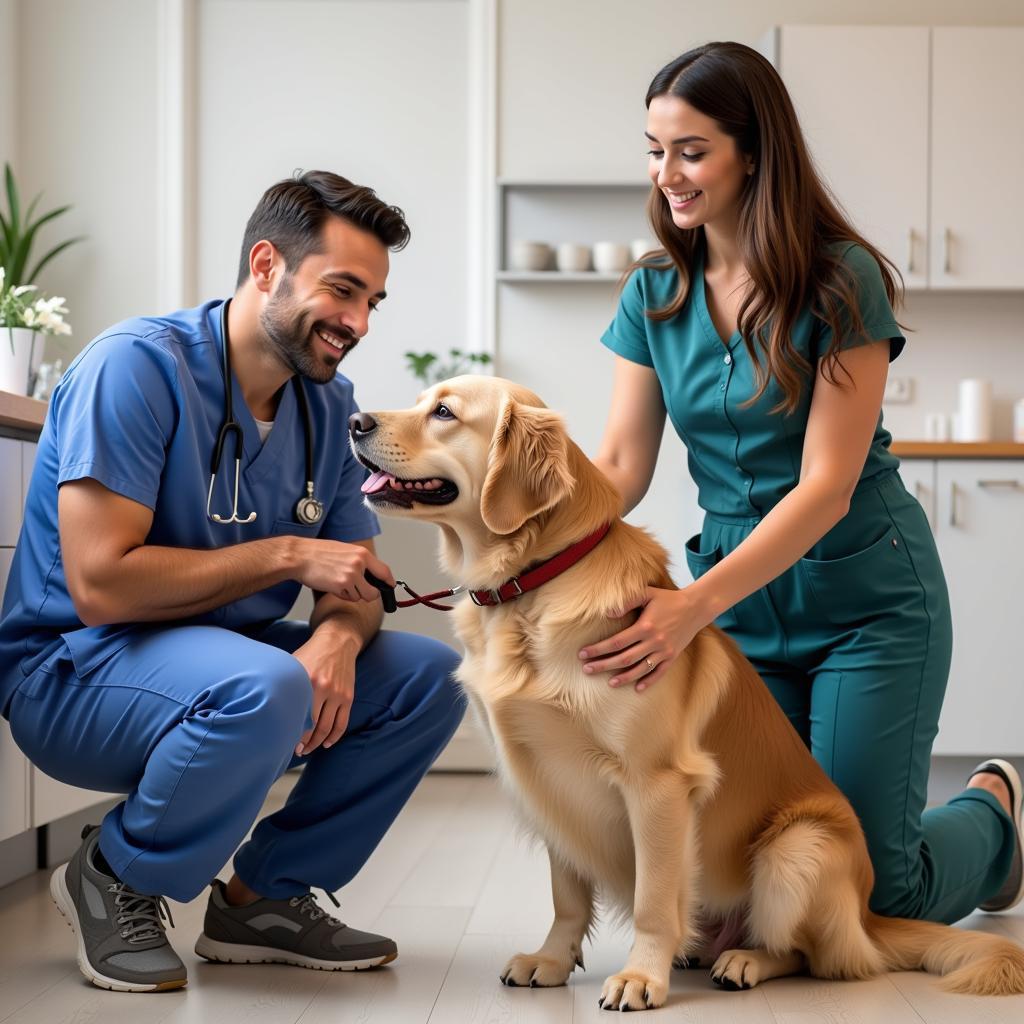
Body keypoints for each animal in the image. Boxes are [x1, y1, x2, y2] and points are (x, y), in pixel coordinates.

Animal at [350, 374, 1024, 1007]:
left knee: (814, 955)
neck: (534, 584)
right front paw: (551, 960)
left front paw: (639, 978)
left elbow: (654, 898)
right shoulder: (545, 778)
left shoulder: (657, 783)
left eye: (444, 412)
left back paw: (745, 960)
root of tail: (867, 912)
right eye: (420, 401)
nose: (356, 421)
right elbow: (567, 894)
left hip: (797, 846)